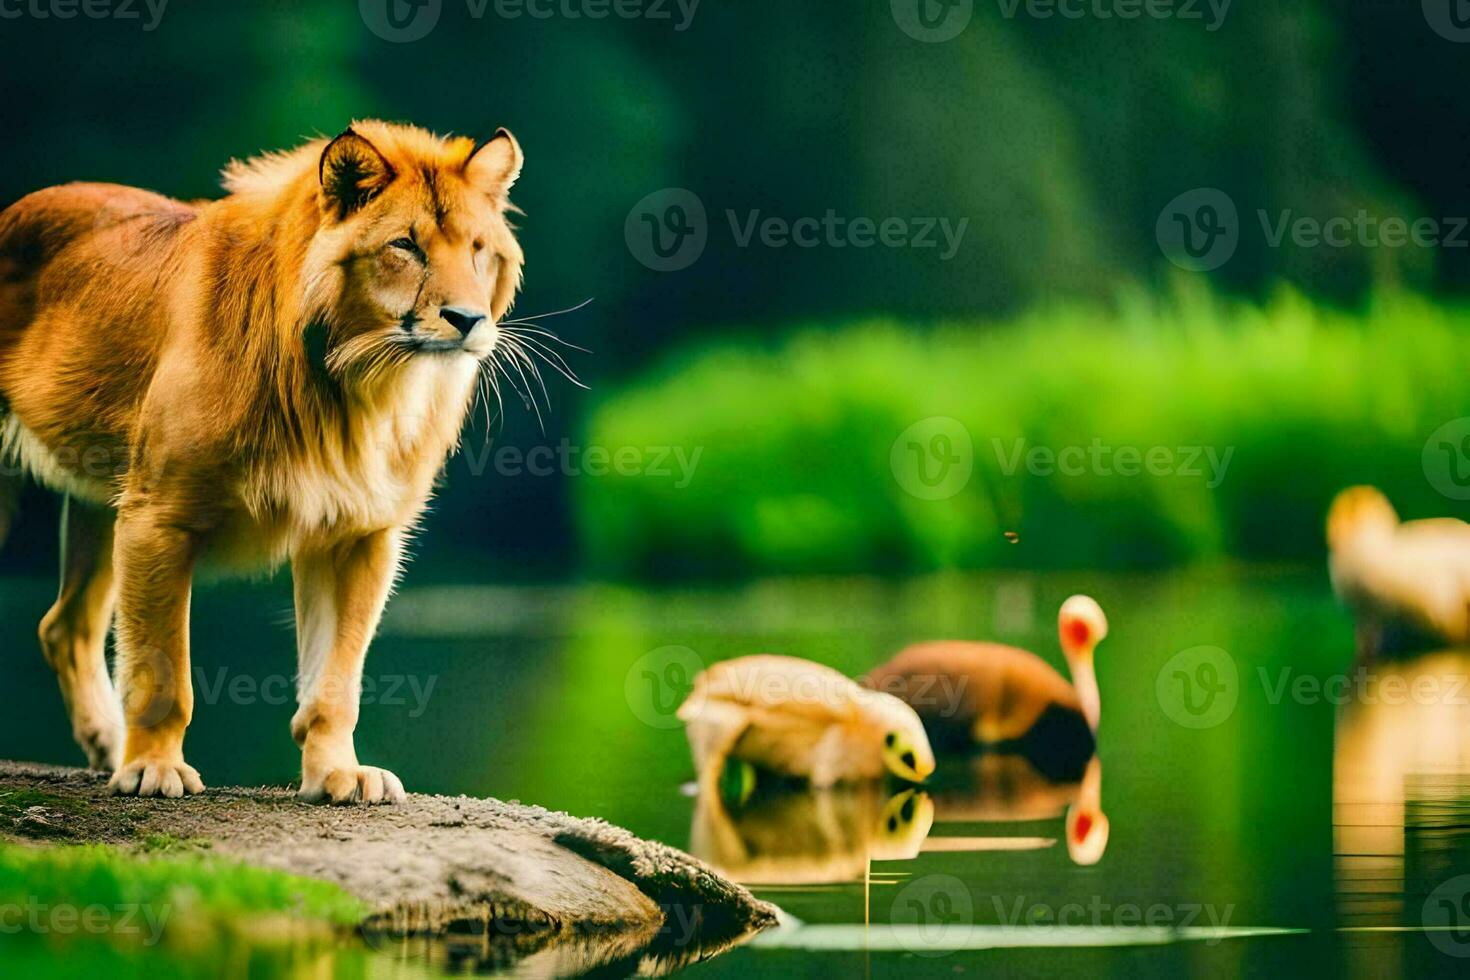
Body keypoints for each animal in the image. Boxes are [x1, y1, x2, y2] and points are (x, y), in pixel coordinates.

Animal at [0, 119, 529, 799]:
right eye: (405, 246)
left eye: (479, 248)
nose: (467, 319)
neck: (356, 385)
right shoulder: (158, 517)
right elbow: (161, 670)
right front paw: (154, 768)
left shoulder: (358, 533)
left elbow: (336, 679)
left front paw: (339, 773)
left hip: (99, 498)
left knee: (65, 627)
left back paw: (106, 747)